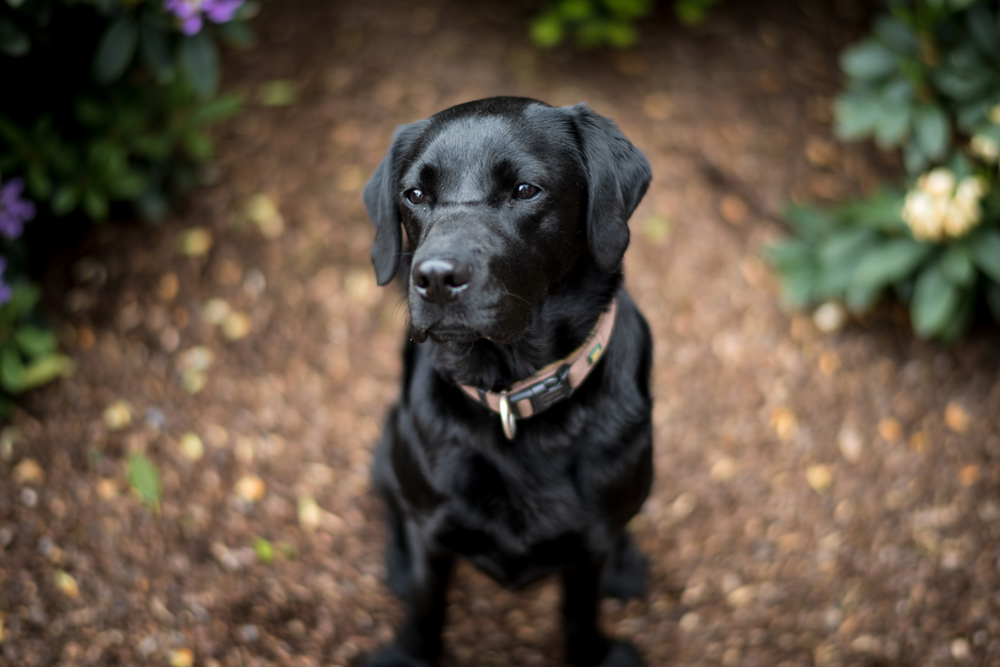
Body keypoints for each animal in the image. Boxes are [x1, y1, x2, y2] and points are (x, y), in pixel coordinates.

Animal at [362, 96, 656, 664]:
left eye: (524, 189)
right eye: (415, 194)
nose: (435, 278)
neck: (510, 391)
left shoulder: (589, 546)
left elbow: (581, 614)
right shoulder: (433, 532)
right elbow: (427, 611)